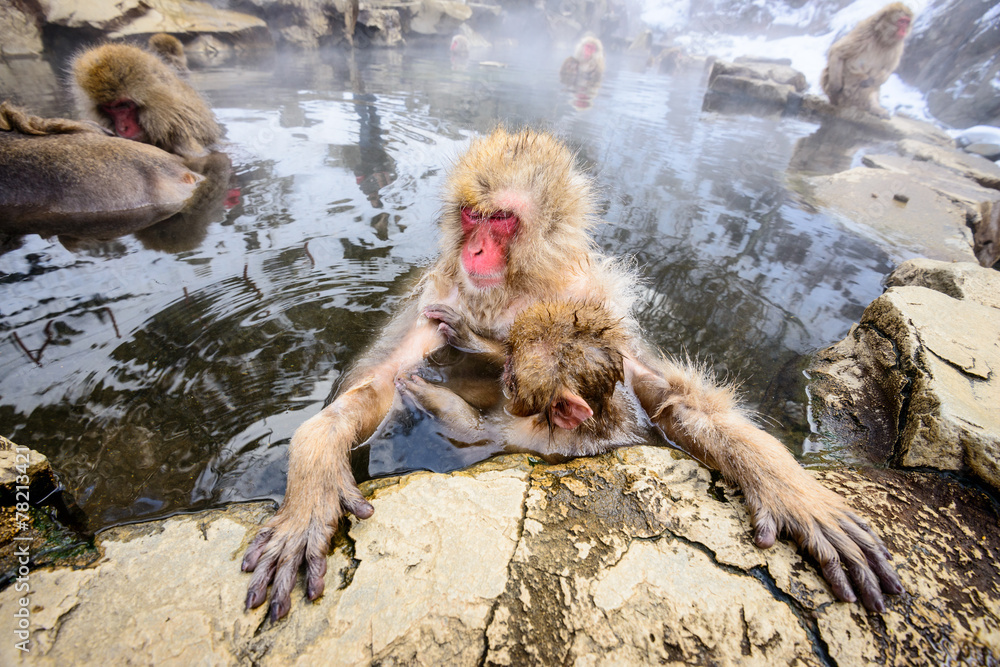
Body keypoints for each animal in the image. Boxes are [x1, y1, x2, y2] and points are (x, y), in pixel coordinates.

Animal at [394, 298, 660, 460]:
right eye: (510, 356)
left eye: (513, 379)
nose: (506, 370)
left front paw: (435, 398)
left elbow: (481, 440)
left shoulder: (532, 440)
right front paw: (467, 335)